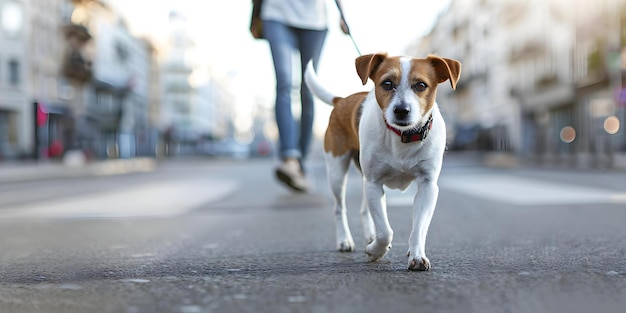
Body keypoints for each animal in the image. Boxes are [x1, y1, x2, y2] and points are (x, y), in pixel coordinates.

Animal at [304, 52, 458, 270]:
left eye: (421, 85)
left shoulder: (428, 186)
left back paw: (370, 235)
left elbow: (418, 227)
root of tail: (341, 100)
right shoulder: (374, 183)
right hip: (337, 171)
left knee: (364, 210)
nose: (401, 110)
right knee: (339, 208)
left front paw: (417, 255)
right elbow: (385, 231)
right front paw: (375, 250)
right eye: (387, 83)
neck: (402, 135)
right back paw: (345, 240)